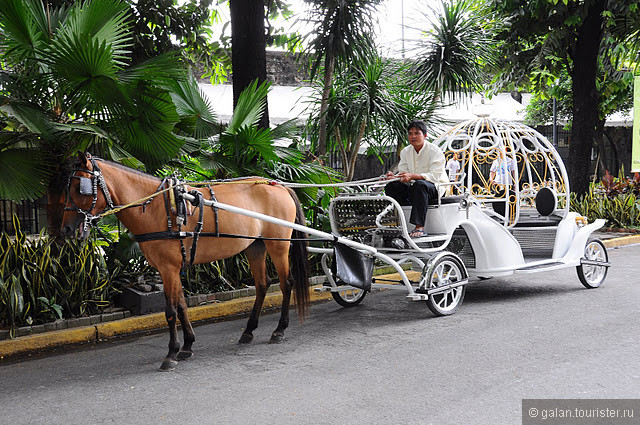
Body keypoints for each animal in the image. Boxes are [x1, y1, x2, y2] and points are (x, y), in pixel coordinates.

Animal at [62, 152, 310, 368]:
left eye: (79, 187)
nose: (66, 229)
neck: (157, 208)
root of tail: (279, 186)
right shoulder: (170, 268)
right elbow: (181, 305)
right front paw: (187, 346)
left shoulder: (168, 268)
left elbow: (171, 311)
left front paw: (171, 353)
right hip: (255, 246)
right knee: (262, 284)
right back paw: (249, 331)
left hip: (278, 244)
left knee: (287, 283)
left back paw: (279, 329)